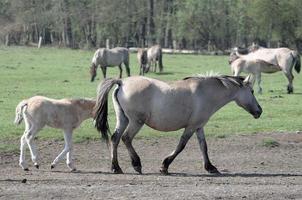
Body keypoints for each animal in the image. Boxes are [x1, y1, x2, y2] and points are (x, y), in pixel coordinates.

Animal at [94, 74, 262, 174]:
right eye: (252, 91)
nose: (259, 111)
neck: (206, 92)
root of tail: (122, 82)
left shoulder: (199, 126)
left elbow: (203, 146)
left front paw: (210, 167)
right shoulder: (191, 127)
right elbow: (181, 145)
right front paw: (164, 166)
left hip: (123, 119)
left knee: (115, 139)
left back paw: (116, 167)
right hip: (136, 122)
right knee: (126, 138)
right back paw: (136, 164)